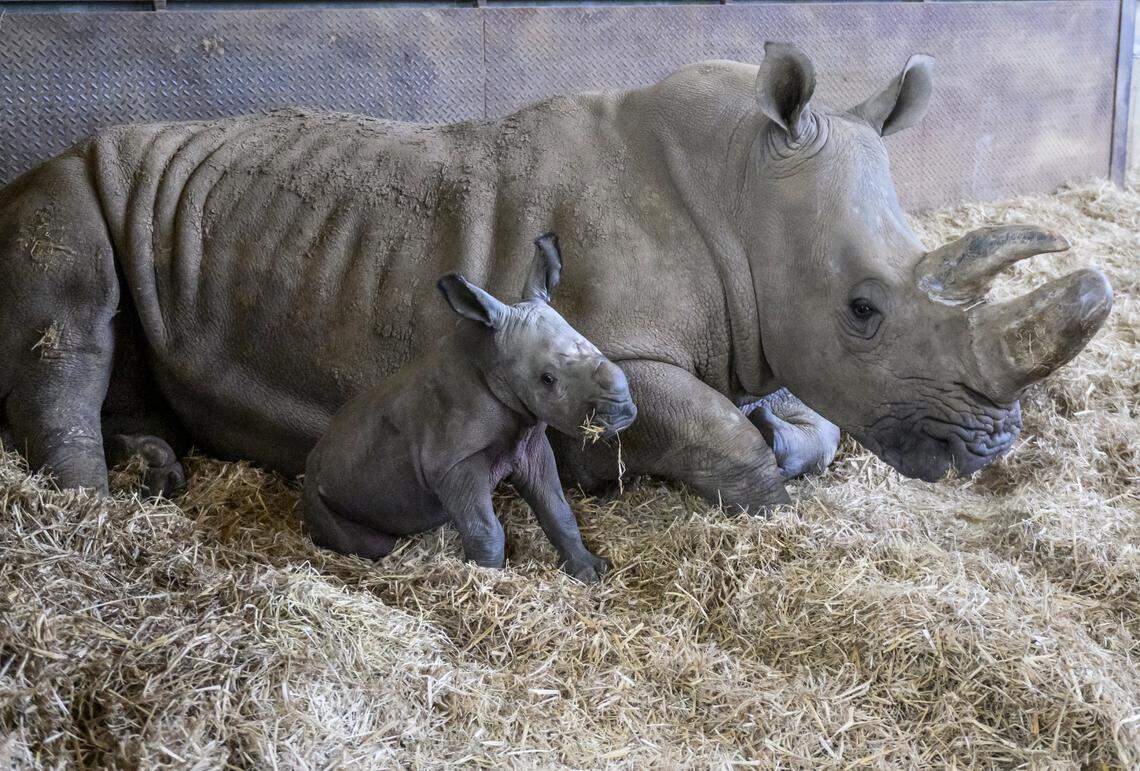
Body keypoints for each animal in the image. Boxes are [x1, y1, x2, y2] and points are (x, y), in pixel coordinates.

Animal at [0, 42, 1111, 512]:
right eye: (865, 310)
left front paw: (788, 436)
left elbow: (811, 424)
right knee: (71, 322)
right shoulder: (602, 355)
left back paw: (153, 469)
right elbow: (717, 436)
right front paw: (740, 472)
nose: (992, 446)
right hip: (62, 186)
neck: (742, 190)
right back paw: (99, 512)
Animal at [304, 232, 632, 582]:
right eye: (547, 379)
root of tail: (311, 463)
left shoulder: (530, 441)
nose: (623, 411)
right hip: (321, 490)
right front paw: (488, 582)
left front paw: (591, 571)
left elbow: (558, 510)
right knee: (370, 543)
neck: (492, 360)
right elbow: (485, 530)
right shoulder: (453, 461)